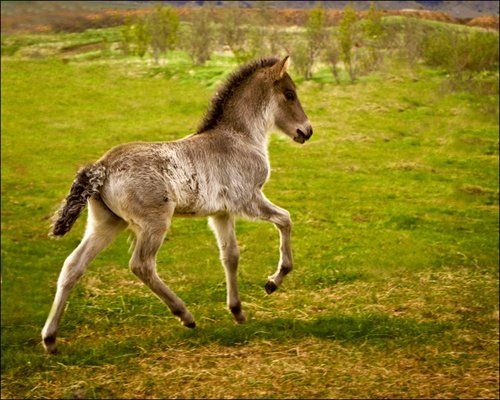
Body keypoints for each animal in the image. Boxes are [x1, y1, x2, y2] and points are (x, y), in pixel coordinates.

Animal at [42, 56, 312, 354]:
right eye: (290, 94)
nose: (306, 131)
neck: (239, 137)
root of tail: (101, 166)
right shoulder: (248, 200)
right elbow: (285, 219)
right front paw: (273, 282)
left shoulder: (221, 213)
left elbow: (230, 256)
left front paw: (237, 311)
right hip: (153, 224)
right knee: (141, 265)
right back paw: (186, 315)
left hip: (107, 224)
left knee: (72, 266)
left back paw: (50, 340)